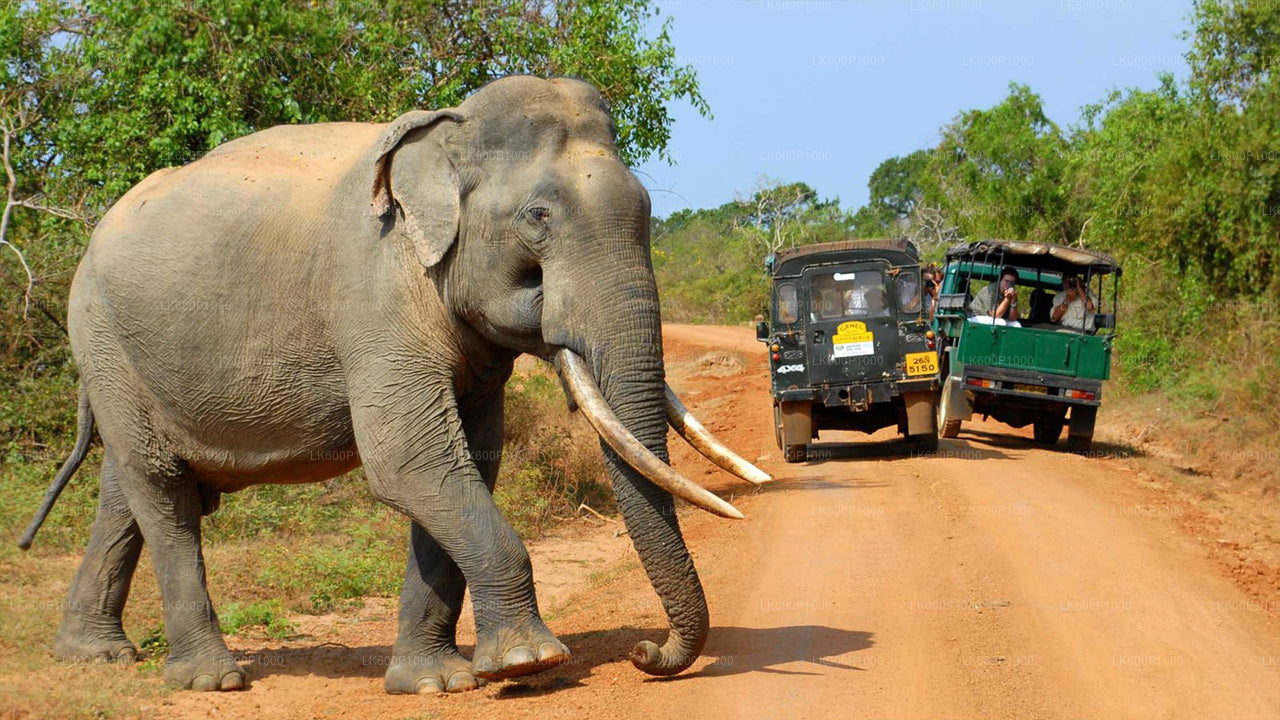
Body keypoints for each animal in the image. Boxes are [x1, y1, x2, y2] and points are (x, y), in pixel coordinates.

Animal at [17, 75, 768, 691]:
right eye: (539, 218)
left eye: (648, 212)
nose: (646, 652)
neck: (447, 134)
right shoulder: (373, 294)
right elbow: (411, 460)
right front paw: (529, 664)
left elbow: (469, 461)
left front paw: (435, 683)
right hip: (101, 334)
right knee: (161, 488)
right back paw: (212, 680)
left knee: (128, 484)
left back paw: (92, 655)